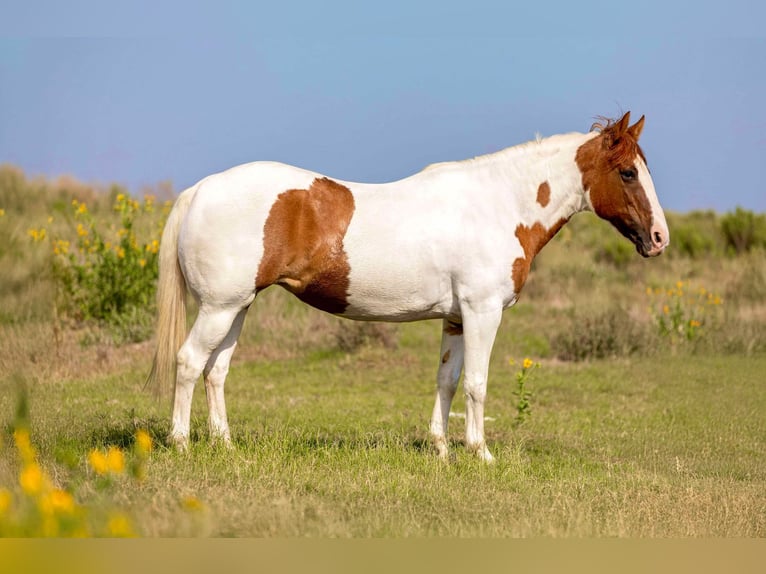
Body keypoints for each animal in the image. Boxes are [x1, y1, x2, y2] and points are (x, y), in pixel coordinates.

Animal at [147, 111, 668, 464]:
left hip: (237, 307)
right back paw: (181, 443)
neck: (498, 205)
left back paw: (225, 444)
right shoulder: (482, 312)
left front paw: (441, 449)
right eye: (627, 172)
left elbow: (448, 380)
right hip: (218, 308)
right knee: (189, 363)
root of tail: (200, 190)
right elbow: (477, 384)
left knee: (216, 371)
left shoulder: (456, 318)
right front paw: (480, 453)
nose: (659, 238)